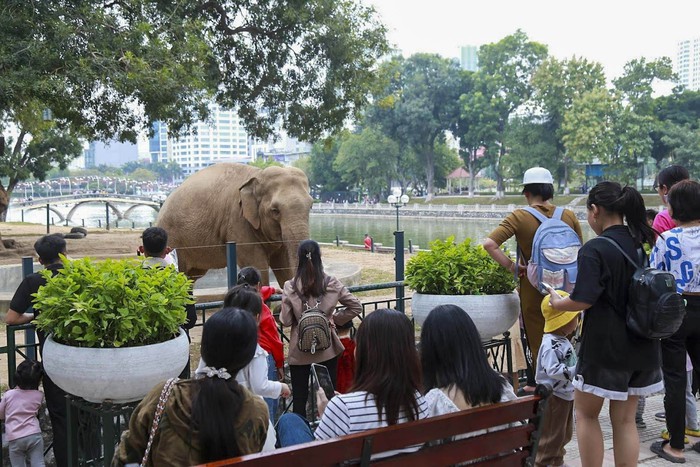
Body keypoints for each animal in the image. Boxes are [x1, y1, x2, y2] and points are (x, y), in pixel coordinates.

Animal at [159, 165, 314, 288]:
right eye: (275, 210)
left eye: (311, 206)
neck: (258, 174)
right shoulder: (237, 221)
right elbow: (257, 265)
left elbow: (284, 263)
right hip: (173, 239)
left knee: (190, 278)